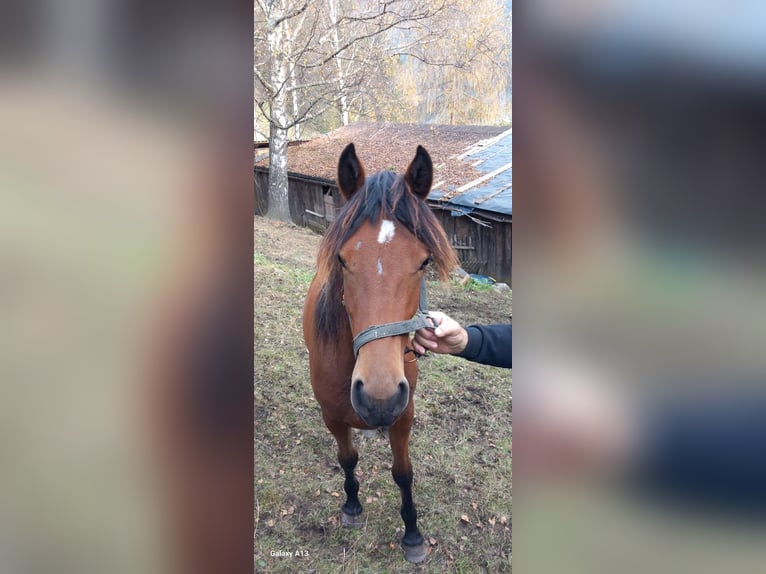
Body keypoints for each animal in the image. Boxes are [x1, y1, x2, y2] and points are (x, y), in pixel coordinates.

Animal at [304, 144, 460, 568]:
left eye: (423, 261)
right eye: (342, 260)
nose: (378, 398)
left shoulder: (403, 416)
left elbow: (403, 472)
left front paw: (413, 535)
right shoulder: (332, 417)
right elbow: (347, 458)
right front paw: (352, 507)